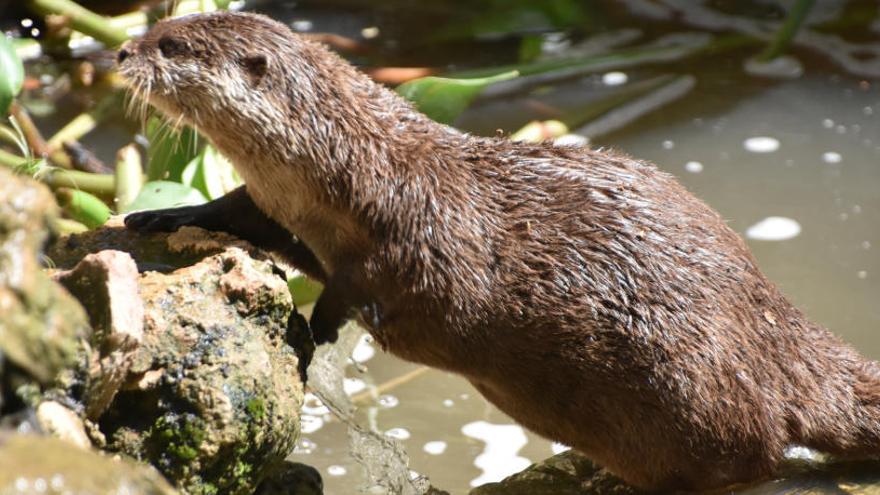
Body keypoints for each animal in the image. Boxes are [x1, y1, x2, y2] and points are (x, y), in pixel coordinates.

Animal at [117, 11, 880, 492]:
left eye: (173, 45)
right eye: (151, 30)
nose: (122, 52)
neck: (356, 171)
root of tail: (776, 331)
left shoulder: (418, 233)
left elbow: (382, 286)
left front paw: (318, 326)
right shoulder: (279, 207)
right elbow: (234, 212)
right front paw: (159, 212)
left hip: (695, 385)